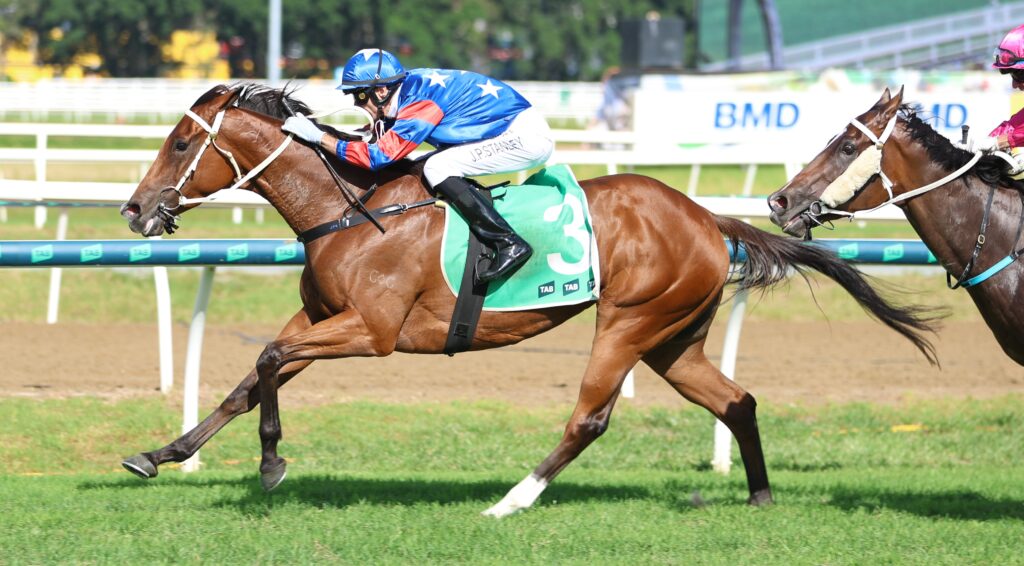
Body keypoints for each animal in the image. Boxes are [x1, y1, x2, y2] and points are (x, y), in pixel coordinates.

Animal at [119, 83, 938, 517]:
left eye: (180, 144)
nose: (134, 210)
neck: (352, 209)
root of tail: (708, 217)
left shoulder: (371, 330)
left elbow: (266, 359)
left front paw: (269, 465)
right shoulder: (324, 317)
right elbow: (250, 379)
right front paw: (162, 454)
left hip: (630, 321)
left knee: (591, 417)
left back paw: (513, 499)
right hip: (675, 337)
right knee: (736, 401)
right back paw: (761, 499)